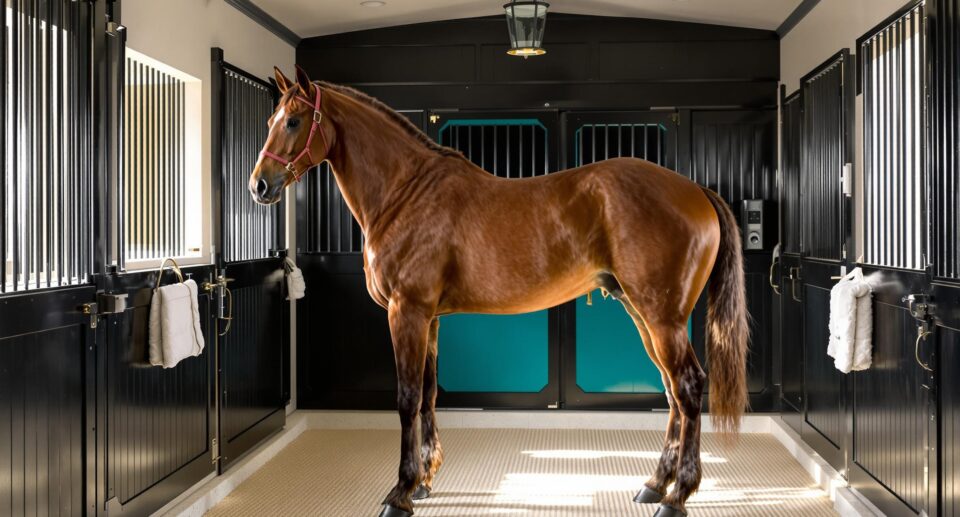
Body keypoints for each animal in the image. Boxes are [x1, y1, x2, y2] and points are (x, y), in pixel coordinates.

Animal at [250, 66, 748, 517]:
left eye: (294, 120)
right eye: (271, 118)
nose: (259, 185)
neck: (405, 192)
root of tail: (695, 191)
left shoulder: (406, 312)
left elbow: (407, 398)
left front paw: (400, 493)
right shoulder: (428, 318)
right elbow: (428, 394)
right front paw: (424, 481)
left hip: (662, 317)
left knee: (688, 386)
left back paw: (678, 497)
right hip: (643, 314)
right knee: (672, 391)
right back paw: (654, 484)